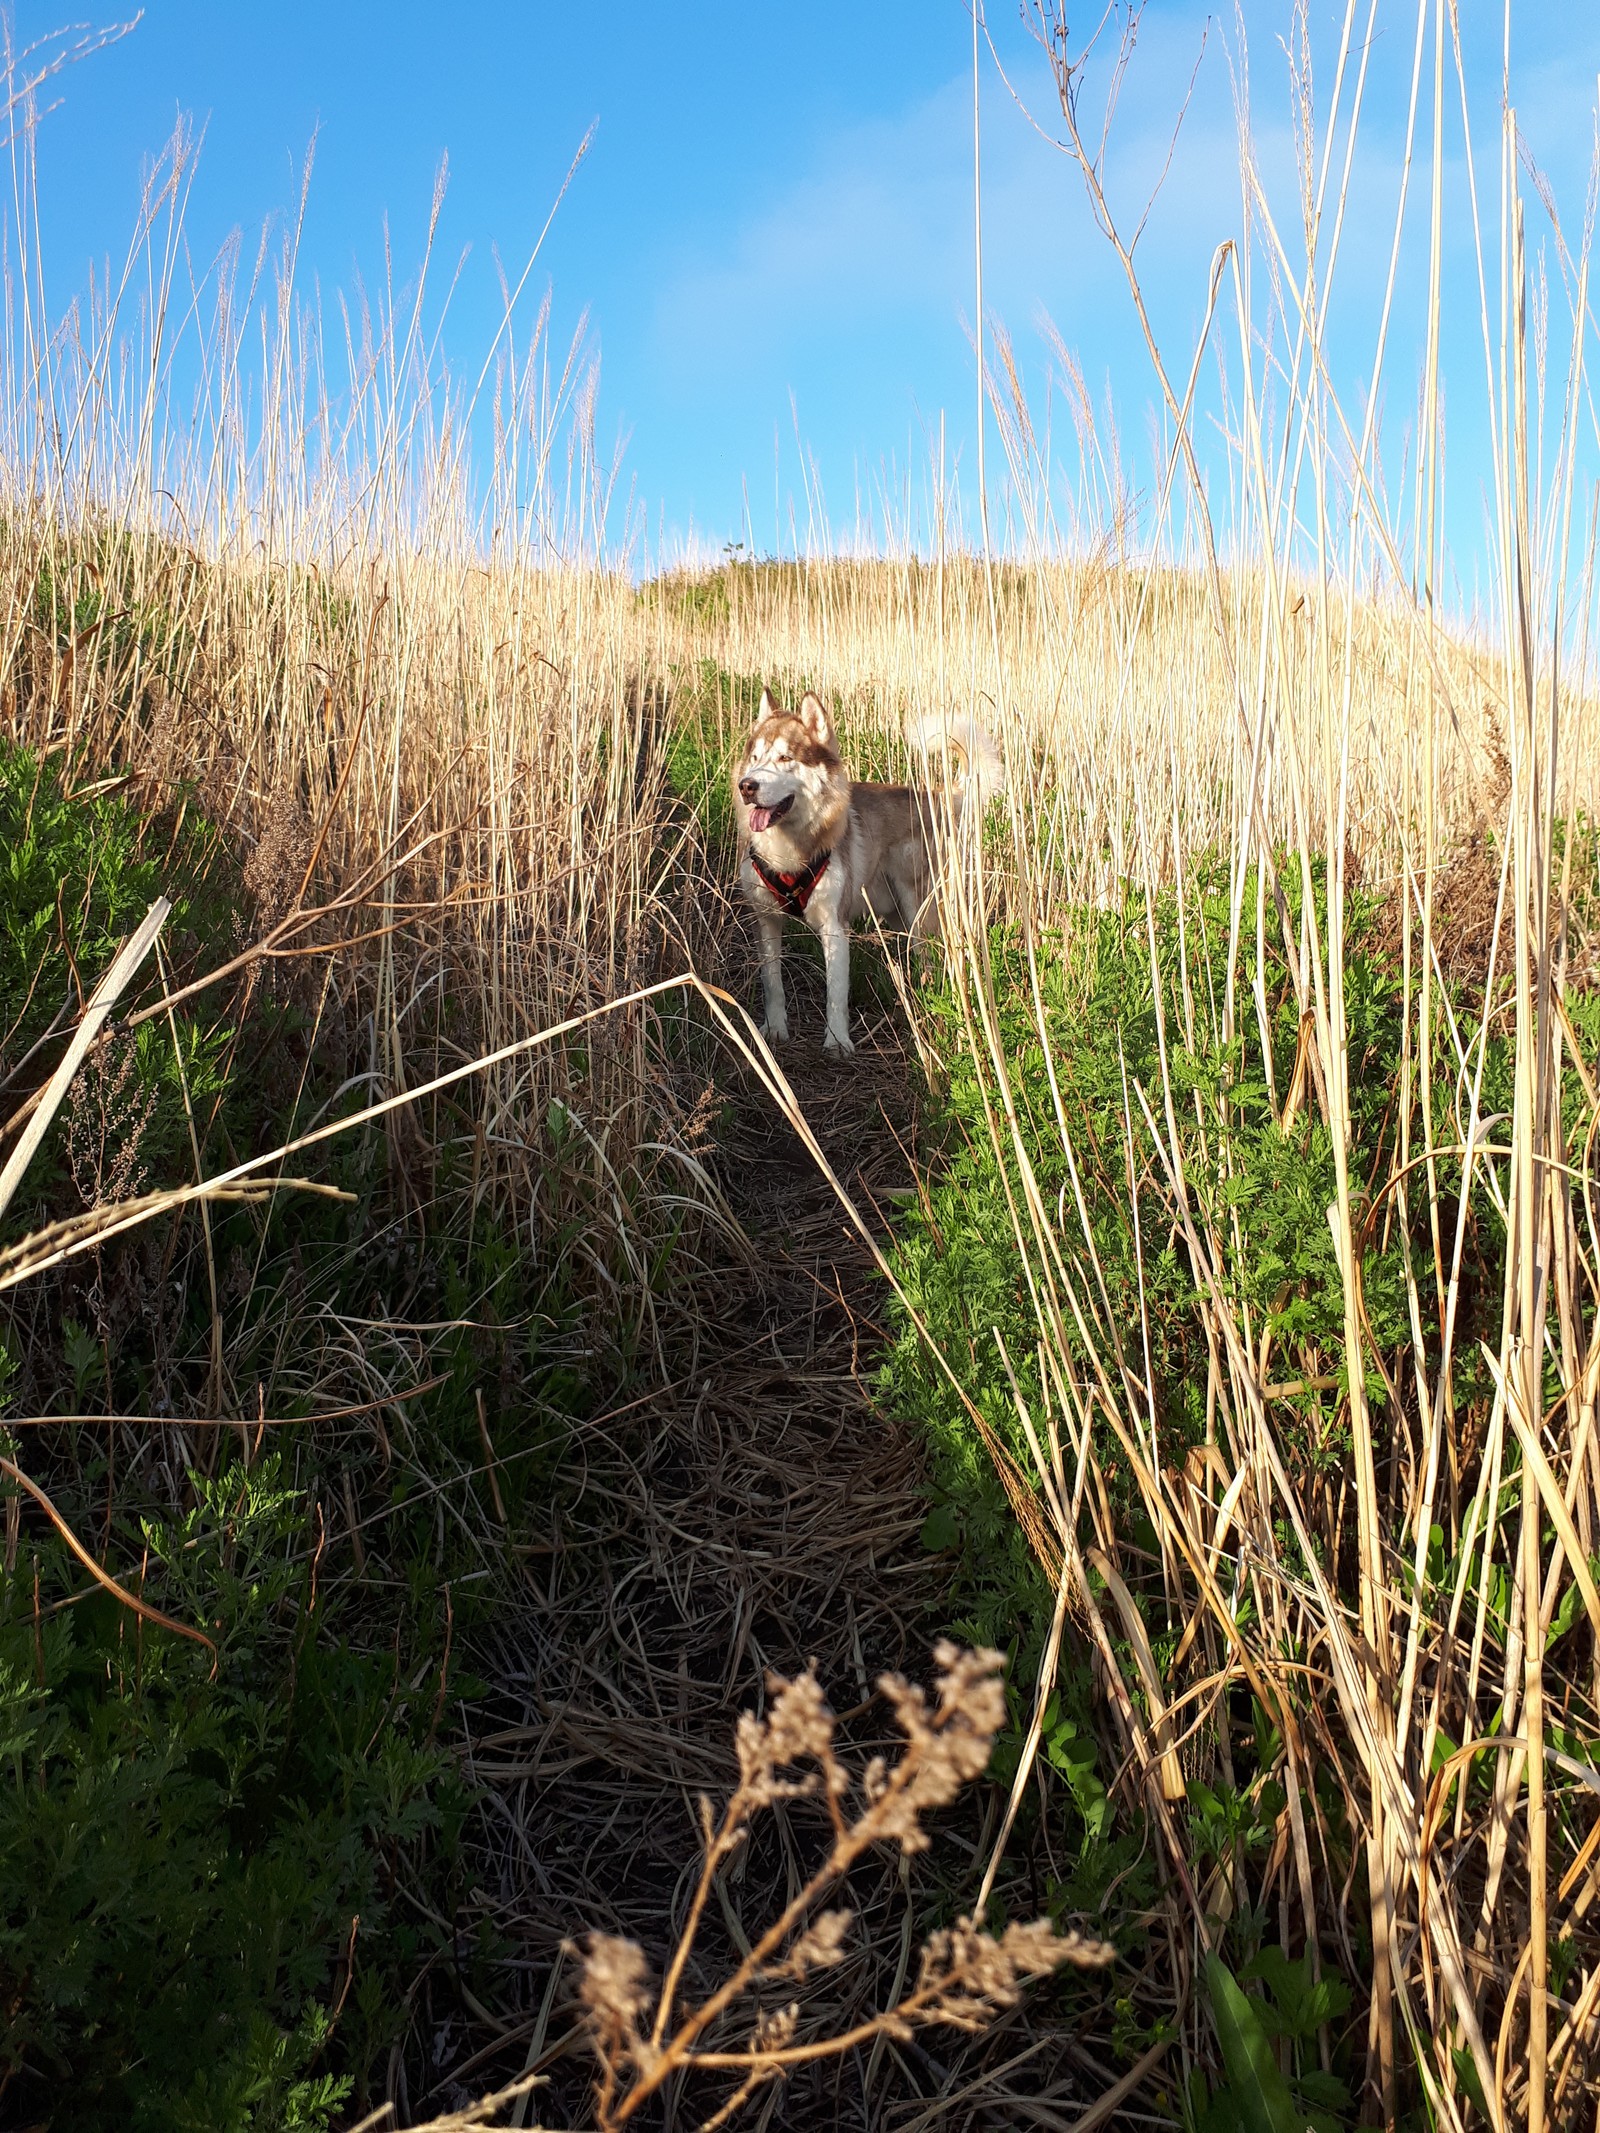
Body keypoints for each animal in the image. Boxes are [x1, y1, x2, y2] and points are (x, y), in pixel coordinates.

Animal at [738, 691, 1002, 1057]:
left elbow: (836, 993)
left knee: (941, 958)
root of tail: (940, 796)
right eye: (755, 757)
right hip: (897, 915)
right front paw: (775, 1030)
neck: (790, 852)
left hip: (922, 912)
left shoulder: (835, 926)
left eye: (785, 757)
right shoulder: (765, 919)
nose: (747, 786)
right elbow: (772, 983)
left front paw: (837, 1041)